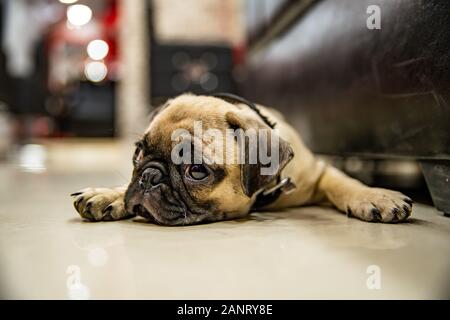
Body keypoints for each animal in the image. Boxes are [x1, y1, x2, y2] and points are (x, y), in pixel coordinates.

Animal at [72, 92, 414, 225]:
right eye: (138, 152)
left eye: (197, 170)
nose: (149, 176)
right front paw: (108, 195)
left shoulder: (318, 171)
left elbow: (344, 182)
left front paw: (375, 195)